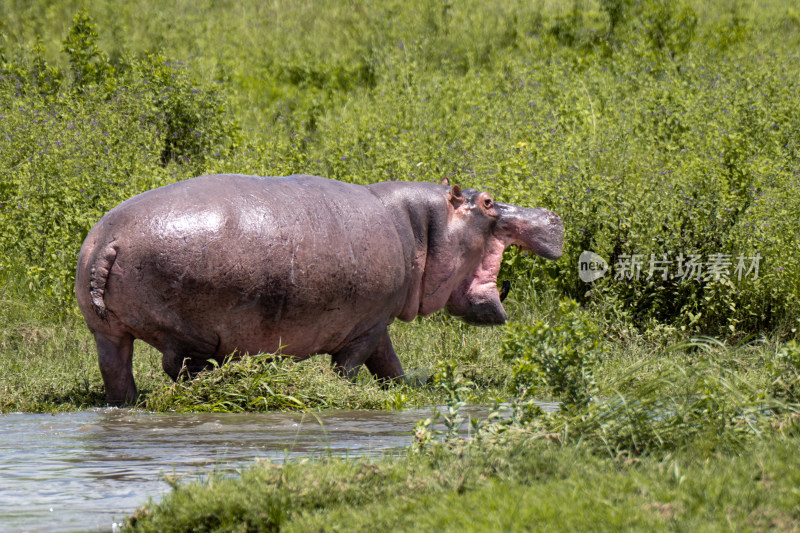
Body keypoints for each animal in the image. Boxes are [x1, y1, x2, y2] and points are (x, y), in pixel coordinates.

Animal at [76, 175, 564, 404]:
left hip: (106, 331)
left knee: (116, 369)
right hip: (192, 333)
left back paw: (126, 405)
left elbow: (389, 364)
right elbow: (350, 368)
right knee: (179, 367)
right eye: (487, 202)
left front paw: (408, 388)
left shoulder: (376, 323)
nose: (553, 216)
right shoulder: (366, 326)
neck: (422, 230)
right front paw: (347, 396)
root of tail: (109, 240)